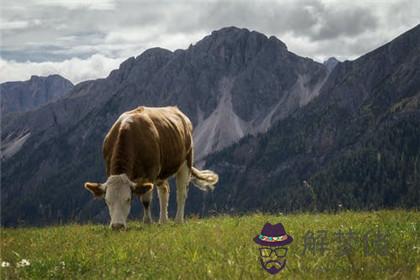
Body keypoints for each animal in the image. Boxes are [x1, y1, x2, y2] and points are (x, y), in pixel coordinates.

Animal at [84, 106, 218, 229]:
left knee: (181, 193)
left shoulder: (150, 173)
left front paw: (147, 222)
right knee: (164, 190)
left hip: (186, 162)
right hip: (162, 171)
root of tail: (175, 109)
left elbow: (146, 200)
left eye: (128, 199)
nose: (117, 226)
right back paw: (163, 221)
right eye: (107, 201)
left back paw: (178, 220)